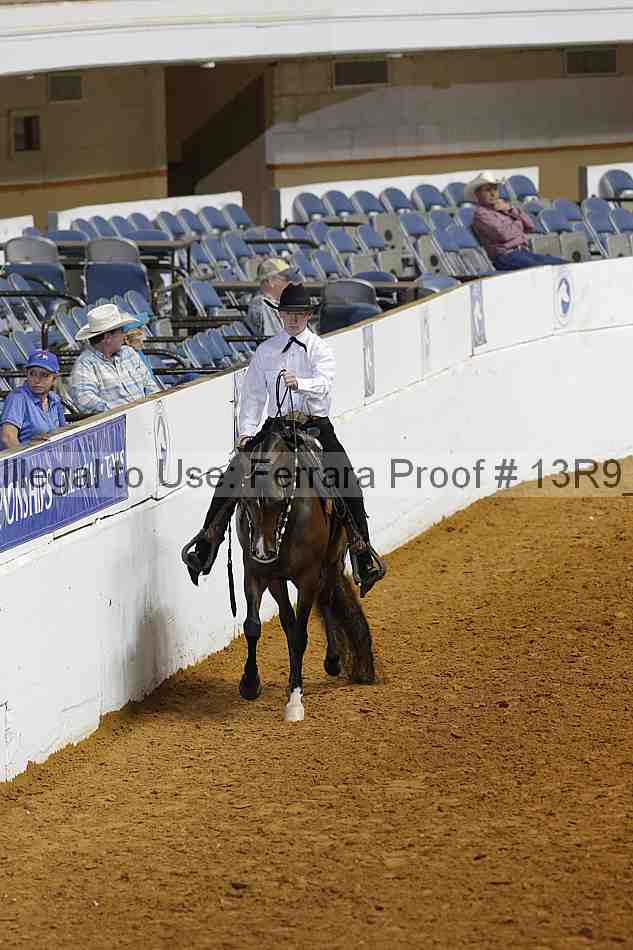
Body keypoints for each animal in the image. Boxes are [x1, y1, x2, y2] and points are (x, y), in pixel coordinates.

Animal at [234, 415, 376, 722]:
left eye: (278, 501)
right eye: (247, 502)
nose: (263, 552)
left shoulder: (307, 577)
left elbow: (300, 634)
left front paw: (295, 701)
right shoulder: (260, 573)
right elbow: (254, 626)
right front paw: (250, 683)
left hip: (332, 560)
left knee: (327, 600)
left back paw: (333, 661)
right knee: (291, 619)